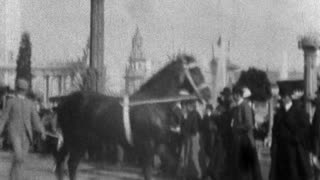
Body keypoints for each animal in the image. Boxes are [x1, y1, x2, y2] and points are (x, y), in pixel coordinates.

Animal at [54, 54, 211, 180]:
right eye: (195, 72)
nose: (208, 94)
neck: (154, 103)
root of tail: (64, 102)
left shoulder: (160, 146)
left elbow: (171, 165)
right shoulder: (147, 146)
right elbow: (147, 173)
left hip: (75, 140)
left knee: (63, 161)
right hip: (77, 140)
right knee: (70, 163)